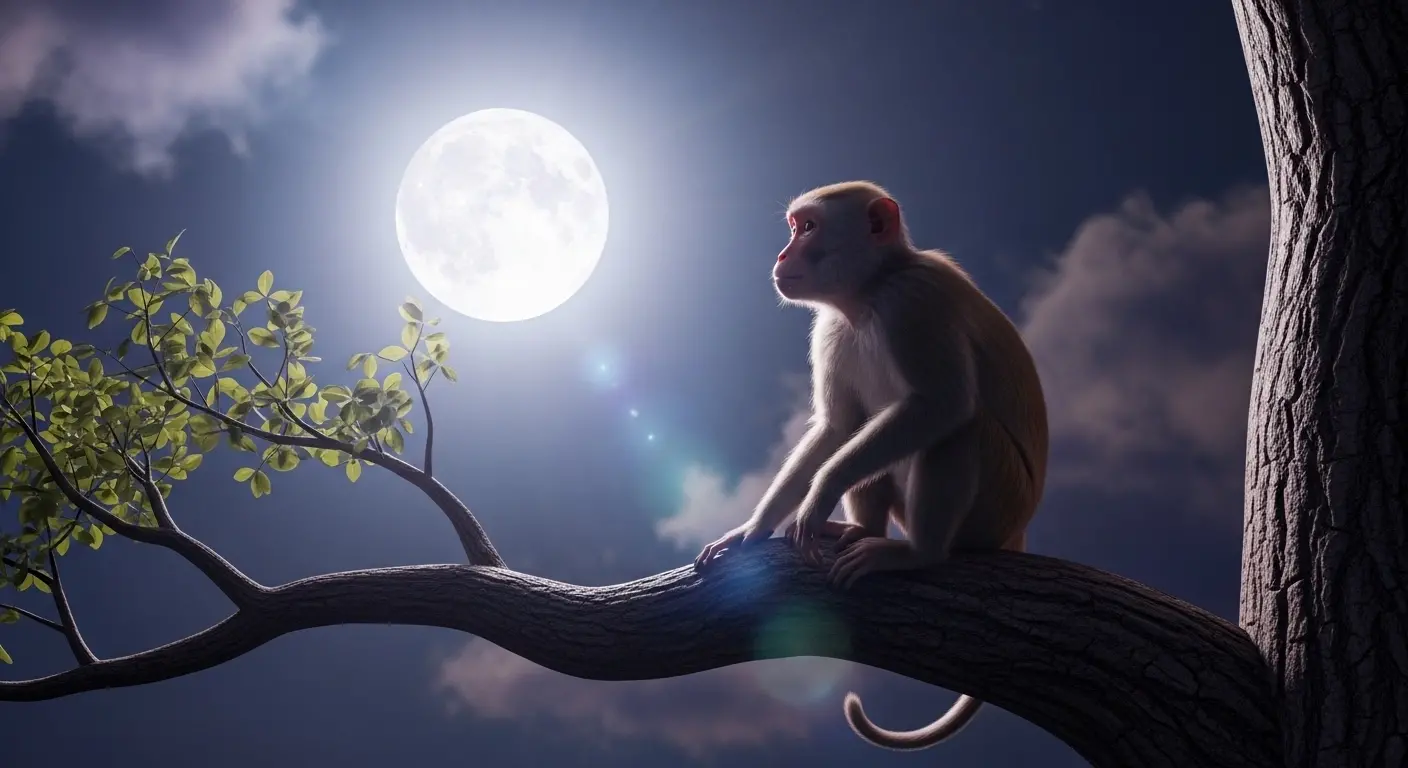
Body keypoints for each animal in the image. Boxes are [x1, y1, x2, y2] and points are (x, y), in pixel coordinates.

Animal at [693, 181, 1048, 751]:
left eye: (808, 228)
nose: (782, 254)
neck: (870, 294)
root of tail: (1019, 528)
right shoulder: (831, 327)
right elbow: (837, 429)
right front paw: (752, 528)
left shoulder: (913, 304)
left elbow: (942, 405)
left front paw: (820, 493)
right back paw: (862, 530)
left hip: (1000, 503)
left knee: (961, 425)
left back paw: (919, 553)